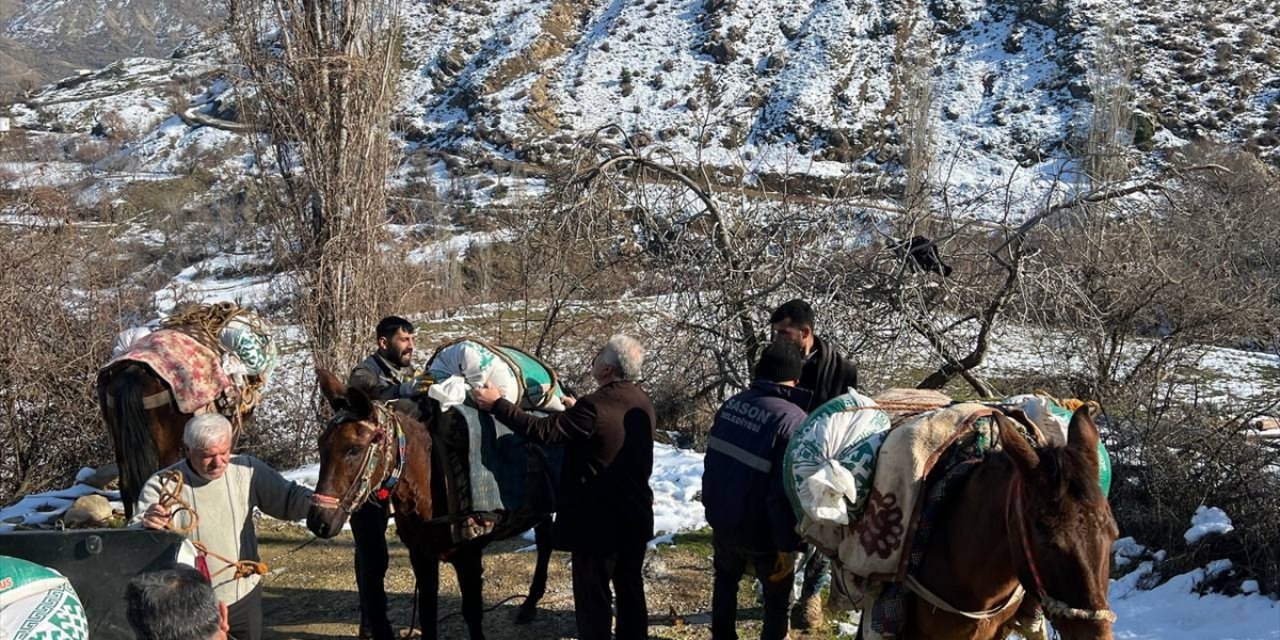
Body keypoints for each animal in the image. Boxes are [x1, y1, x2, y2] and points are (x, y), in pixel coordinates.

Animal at [308, 371, 555, 640]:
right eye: (321, 444)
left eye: (354, 449)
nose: (318, 521)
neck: (429, 488)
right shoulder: (421, 556)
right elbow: (427, 615)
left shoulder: (468, 558)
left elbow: (472, 613)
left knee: (545, 546)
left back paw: (529, 605)